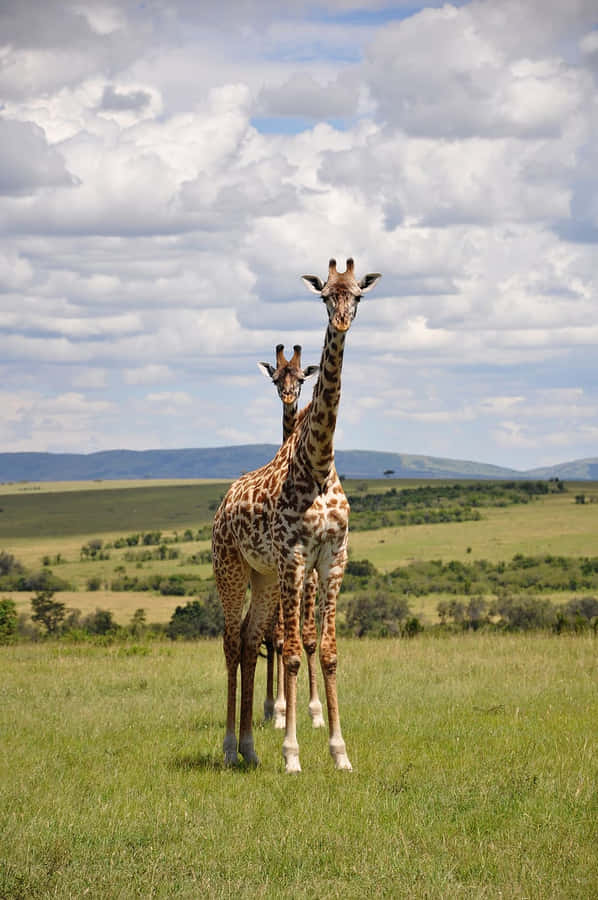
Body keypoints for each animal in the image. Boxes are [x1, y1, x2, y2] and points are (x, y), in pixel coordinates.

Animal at [212, 258, 381, 772]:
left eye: (357, 294)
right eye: (325, 295)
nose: (342, 321)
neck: (318, 464)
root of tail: (222, 505)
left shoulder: (333, 558)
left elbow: (323, 649)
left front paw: (339, 750)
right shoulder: (294, 557)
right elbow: (288, 650)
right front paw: (291, 753)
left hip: (264, 576)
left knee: (250, 639)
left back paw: (249, 747)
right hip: (231, 567)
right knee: (232, 641)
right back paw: (229, 745)